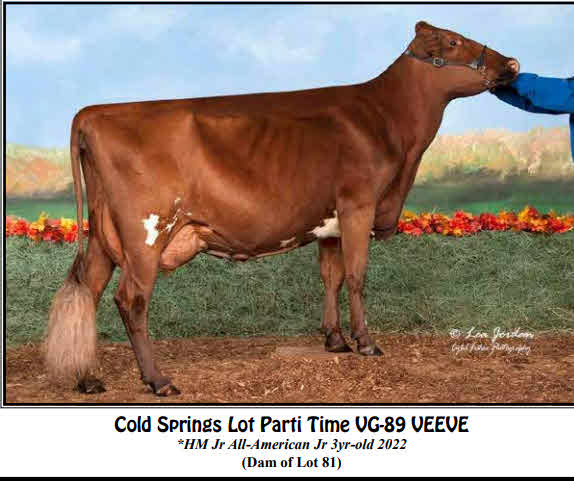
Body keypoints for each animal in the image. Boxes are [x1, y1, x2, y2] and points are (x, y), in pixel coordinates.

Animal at [45, 21, 520, 396]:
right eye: (454, 42)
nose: (512, 64)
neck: (389, 123)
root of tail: (94, 112)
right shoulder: (358, 205)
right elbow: (356, 275)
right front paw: (365, 342)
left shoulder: (329, 221)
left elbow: (330, 277)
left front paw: (335, 340)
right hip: (146, 232)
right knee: (131, 300)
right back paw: (158, 380)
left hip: (103, 235)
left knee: (89, 291)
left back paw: (88, 378)